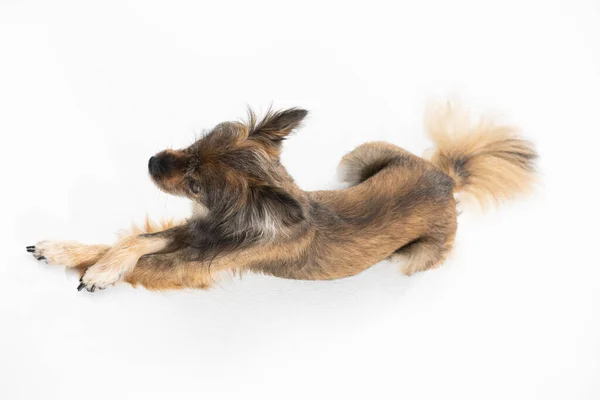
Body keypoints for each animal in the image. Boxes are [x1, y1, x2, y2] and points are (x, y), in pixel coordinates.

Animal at [25, 102, 536, 290]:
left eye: (195, 183)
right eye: (193, 144)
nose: (152, 161)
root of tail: (447, 181)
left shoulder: (194, 263)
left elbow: (143, 258)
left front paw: (97, 273)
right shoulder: (195, 231)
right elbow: (130, 242)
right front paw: (69, 251)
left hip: (413, 257)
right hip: (359, 158)